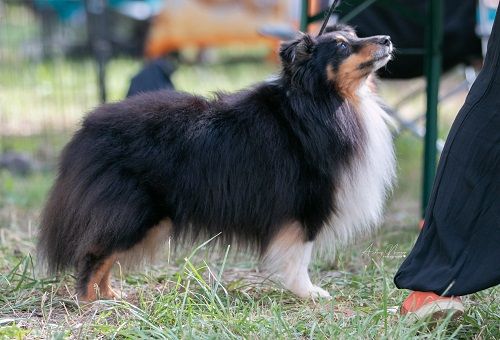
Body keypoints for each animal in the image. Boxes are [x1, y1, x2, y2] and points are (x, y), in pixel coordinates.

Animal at [38, 24, 394, 300]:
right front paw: (309, 293)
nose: (387, 38)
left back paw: (110, 296)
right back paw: (89, 302)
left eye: (356, 34)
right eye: (343, 46)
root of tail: (87, 129)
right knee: (94, 254)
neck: (320, 101)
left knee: (105, 256)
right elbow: (300, 256)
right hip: (135, 210)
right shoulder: (307, 203)